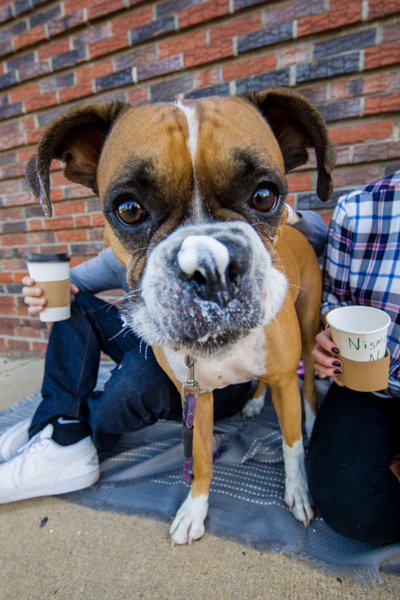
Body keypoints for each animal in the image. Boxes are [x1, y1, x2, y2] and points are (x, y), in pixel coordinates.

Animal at [26, 86, 336, 548]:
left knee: (309, 388)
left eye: (265, 196)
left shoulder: (284, 379)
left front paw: (298, 491)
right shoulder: (198, 398)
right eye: (129, 209)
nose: (212, 265)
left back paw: (312, 417)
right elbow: (202, 459)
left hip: (310, 324)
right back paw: (254, 402)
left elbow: (291, 443)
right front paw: (195, 509)